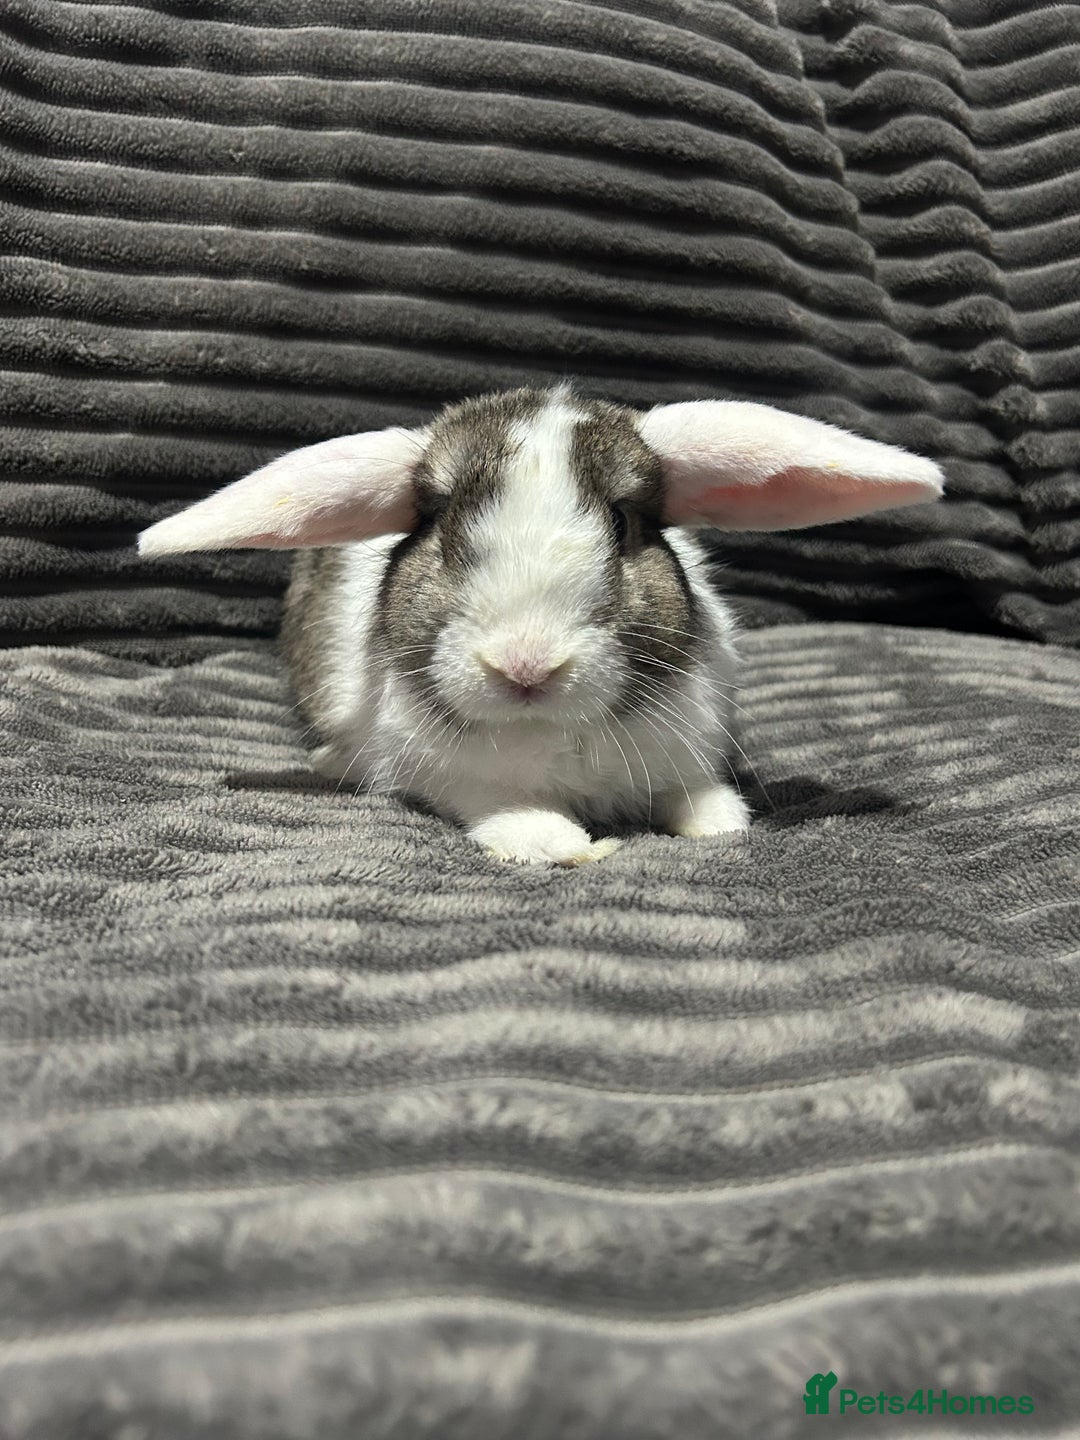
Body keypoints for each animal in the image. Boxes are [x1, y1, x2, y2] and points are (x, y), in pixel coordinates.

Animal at [139, 386, 944, 865]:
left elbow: (695, 794)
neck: (553, 729)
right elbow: (508, 810)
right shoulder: (453, 779)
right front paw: (560, 843)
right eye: (443, 528)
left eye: (622, 526)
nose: (525, 665)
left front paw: (718, 821)